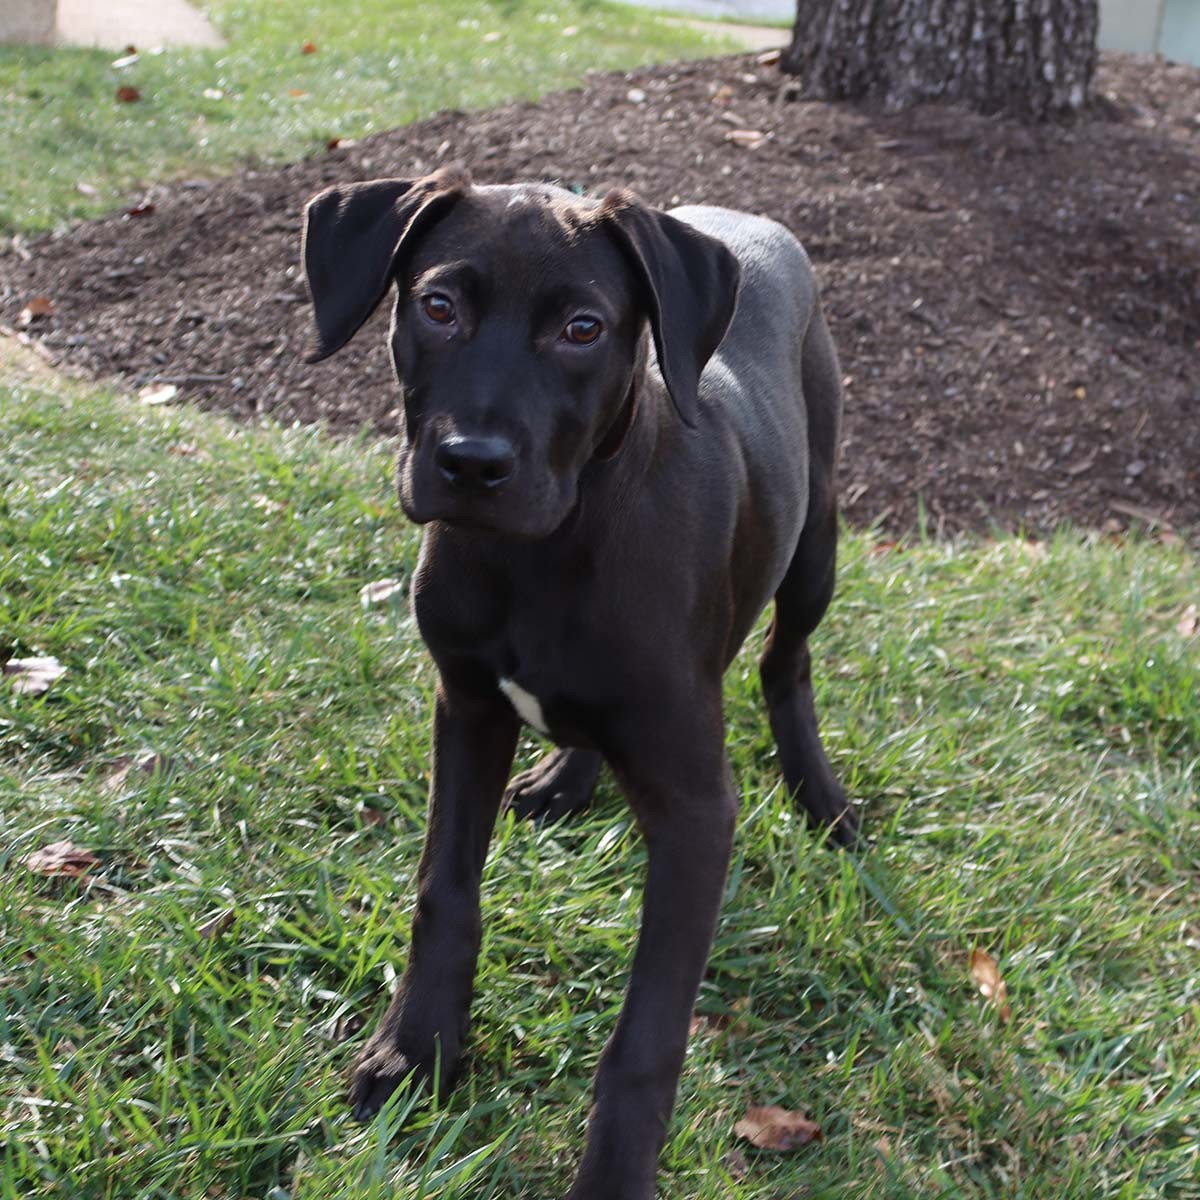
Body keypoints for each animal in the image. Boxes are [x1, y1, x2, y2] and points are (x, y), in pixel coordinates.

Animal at [301, 166, 858, 1199]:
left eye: (584, 329)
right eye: (438, 307)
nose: (472, 464)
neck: (545, 555)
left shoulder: (695, 809)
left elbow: (648, 1035)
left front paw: (612, 1176)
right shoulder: (466, 707)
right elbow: (444, 894)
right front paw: (416, 1051)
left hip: (817, 539)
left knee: (785, 661)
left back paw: (823, 799)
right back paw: (568, 776)